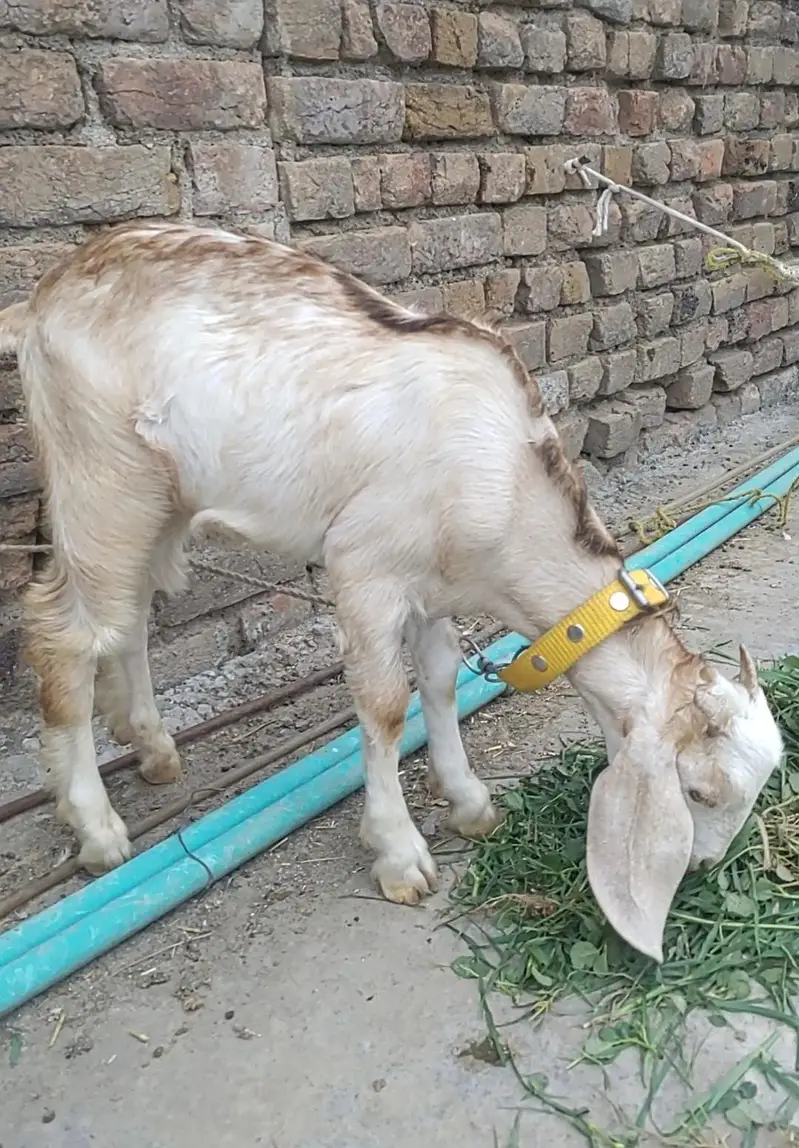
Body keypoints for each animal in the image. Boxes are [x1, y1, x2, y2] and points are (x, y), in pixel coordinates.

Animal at [0, 222, 783, 961]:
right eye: (699, 791)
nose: (704, 865)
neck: (502, 486)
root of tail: (40, 300)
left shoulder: (433, 585)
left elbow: (437, 680)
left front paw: (468, 800)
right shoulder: (363, 566)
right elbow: (381, 705)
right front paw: (400, 853)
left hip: (160, 496)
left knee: (128, 611)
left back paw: (154, 747)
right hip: (101, 475)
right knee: (65, 630)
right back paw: (97, 828)